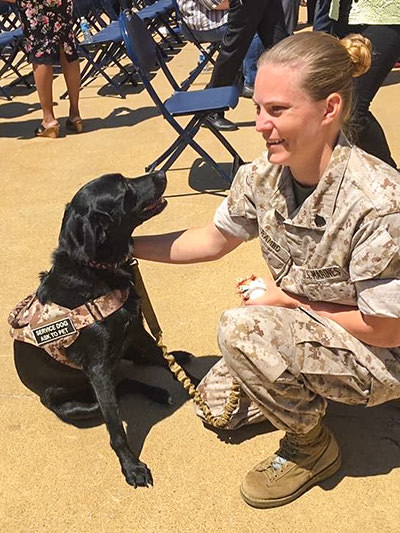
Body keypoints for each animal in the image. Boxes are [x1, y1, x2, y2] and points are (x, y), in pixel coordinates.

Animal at [10, 172, 188, 488]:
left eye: (125, 178)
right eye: (125, 188)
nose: (160, 173)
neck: (97, 271)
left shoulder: (137, 332)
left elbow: (164, 360)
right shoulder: (98, 367)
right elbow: (116, 428)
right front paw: (131, 466)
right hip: (68, 400)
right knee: (117, 389)